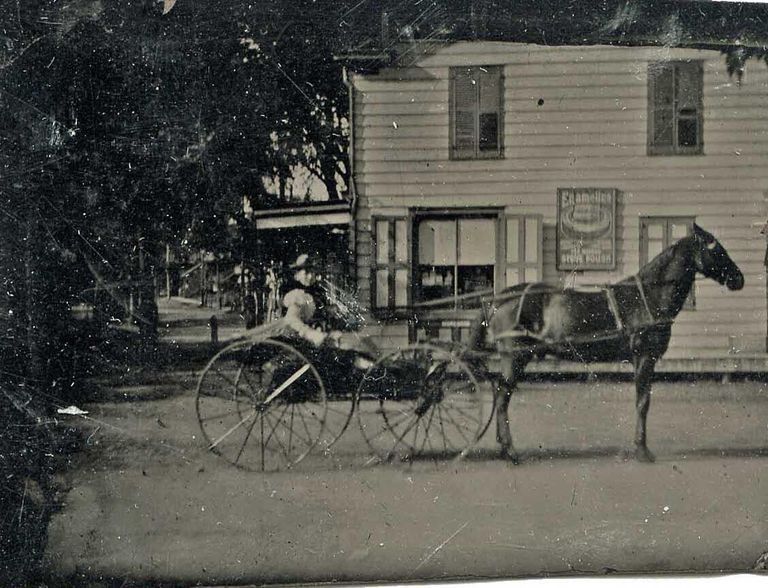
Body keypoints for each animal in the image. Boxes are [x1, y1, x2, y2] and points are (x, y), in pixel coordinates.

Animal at [468, 225, 744, 464]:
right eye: (716, 249)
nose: (738, 279)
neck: (647, 298)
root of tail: (498, 299)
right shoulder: (644, 358)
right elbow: (643, 403)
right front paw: (642, 450)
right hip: (515, 357)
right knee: (502, 397)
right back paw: (510, 451)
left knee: (501, 396)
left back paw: (504, 449)